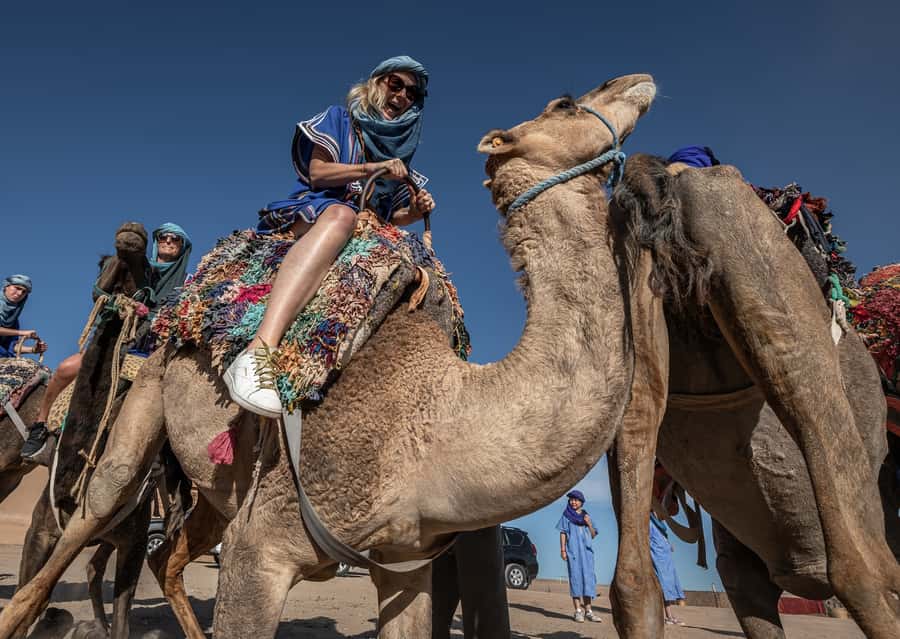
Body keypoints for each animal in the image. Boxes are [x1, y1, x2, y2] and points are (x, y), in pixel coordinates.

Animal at [0, 74, 666, 639]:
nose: (635, 81)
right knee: (88, 518)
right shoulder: (262, 548)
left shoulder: (402, 561)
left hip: (214, 484)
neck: (435, 420)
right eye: (564, 104)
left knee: (168, 555)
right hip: (146, 402)